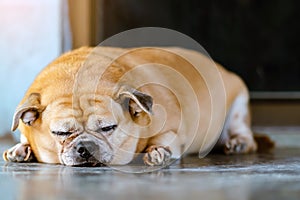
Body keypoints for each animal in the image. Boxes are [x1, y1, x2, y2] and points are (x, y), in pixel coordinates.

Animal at [2, 46, 258, 166]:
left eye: (108, 128)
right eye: (61, 133)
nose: (85, 147)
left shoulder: (174, 129)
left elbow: (166, 139)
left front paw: (158, 151)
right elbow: (24, 139)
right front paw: (21, 149)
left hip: (238, 107)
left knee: (246, 135)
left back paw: (238, 143)